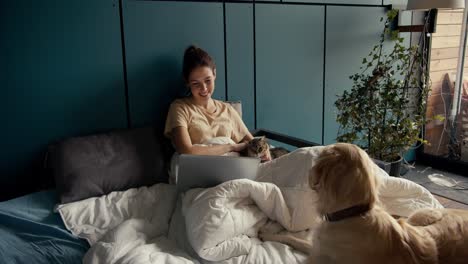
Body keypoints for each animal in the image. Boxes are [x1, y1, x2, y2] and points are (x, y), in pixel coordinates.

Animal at [260, 143, 468, 262]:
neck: (354, 212)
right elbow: (293, 238)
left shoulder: (318, 254)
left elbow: (293, 238)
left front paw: (268, 234)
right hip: (419, 217)